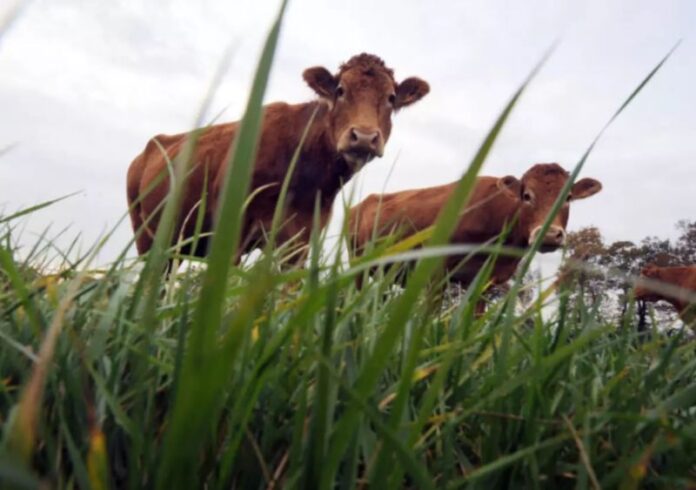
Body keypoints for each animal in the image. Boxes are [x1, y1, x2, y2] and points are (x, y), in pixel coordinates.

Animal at [126, 53, 429, 266]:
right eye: (340, 90)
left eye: (391, 97)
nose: (364, 137)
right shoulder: (232, 232)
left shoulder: (300, 243)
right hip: (146, 237)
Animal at [348, 163, 603, 312]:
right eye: (527, 196)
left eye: (568, 197)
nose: (549, 234)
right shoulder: (436, 272)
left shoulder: (483, 282)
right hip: (357, 265)